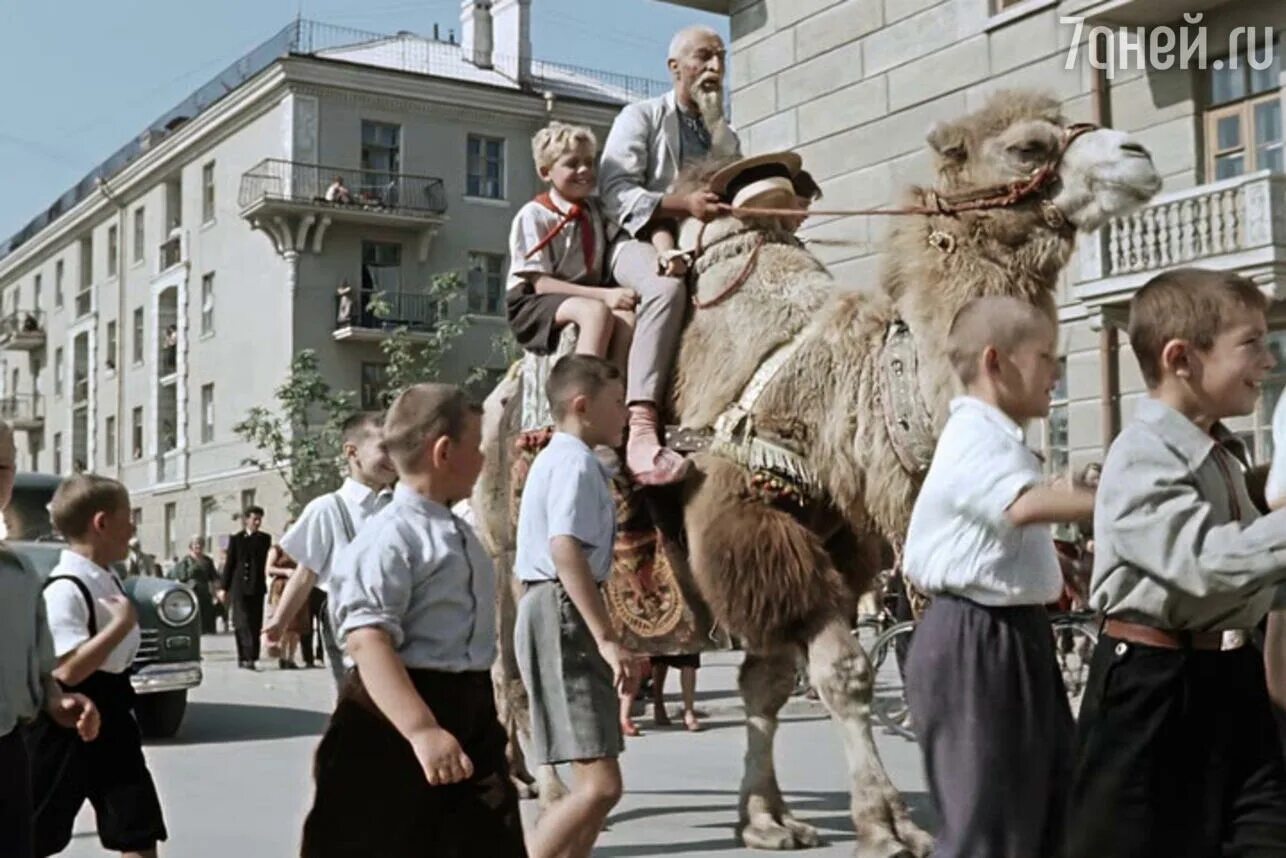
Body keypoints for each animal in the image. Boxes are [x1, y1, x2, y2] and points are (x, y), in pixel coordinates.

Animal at [475, 90, 1167, 854]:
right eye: (1026, 147)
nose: (1139, 156)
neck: (844, 386)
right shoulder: (747, 514)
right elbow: (841, 671)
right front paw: (886, 822)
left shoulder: (836, 533)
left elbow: (771, 680)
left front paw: (766, 818)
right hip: (509, 545)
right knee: (515, 664)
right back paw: (551, 790)